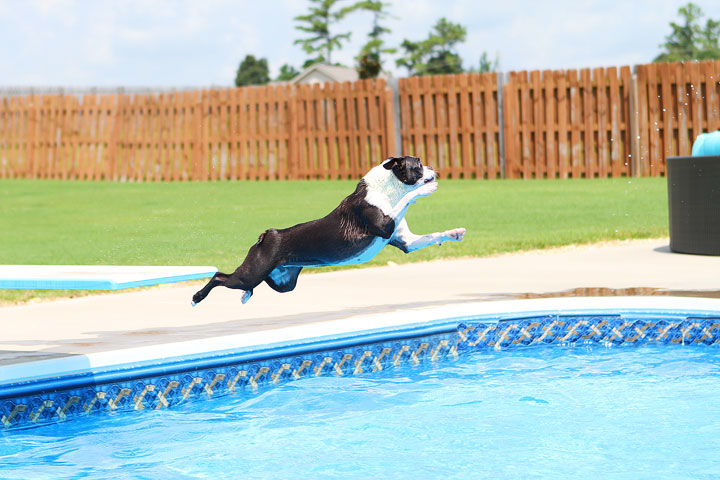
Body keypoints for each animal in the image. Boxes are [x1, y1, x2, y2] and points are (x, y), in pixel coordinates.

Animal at [190, 158, 466, 308]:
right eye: (417, 164)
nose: (432, 166)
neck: (387, 190)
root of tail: (269, 234)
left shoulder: (406, 241)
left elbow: (433, 235)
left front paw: (454, 232)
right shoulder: (384, 225)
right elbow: (408, 198)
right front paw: (424, 190)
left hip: (283, 282)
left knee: (251, 284)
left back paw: (245, 297)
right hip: (252, 272)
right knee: (220, 276)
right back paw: (197, 297)